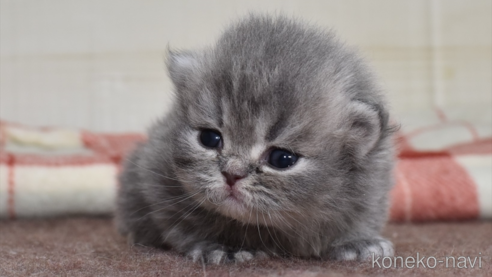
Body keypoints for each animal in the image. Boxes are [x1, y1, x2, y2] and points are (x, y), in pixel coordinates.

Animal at [117, 14, 398, 264]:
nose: (232, 174)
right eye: (210, 138)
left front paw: (357, 241)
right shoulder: (155, 174)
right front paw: (224, 246)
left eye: (282, 158)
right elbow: (184, 223)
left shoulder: (371, 188)